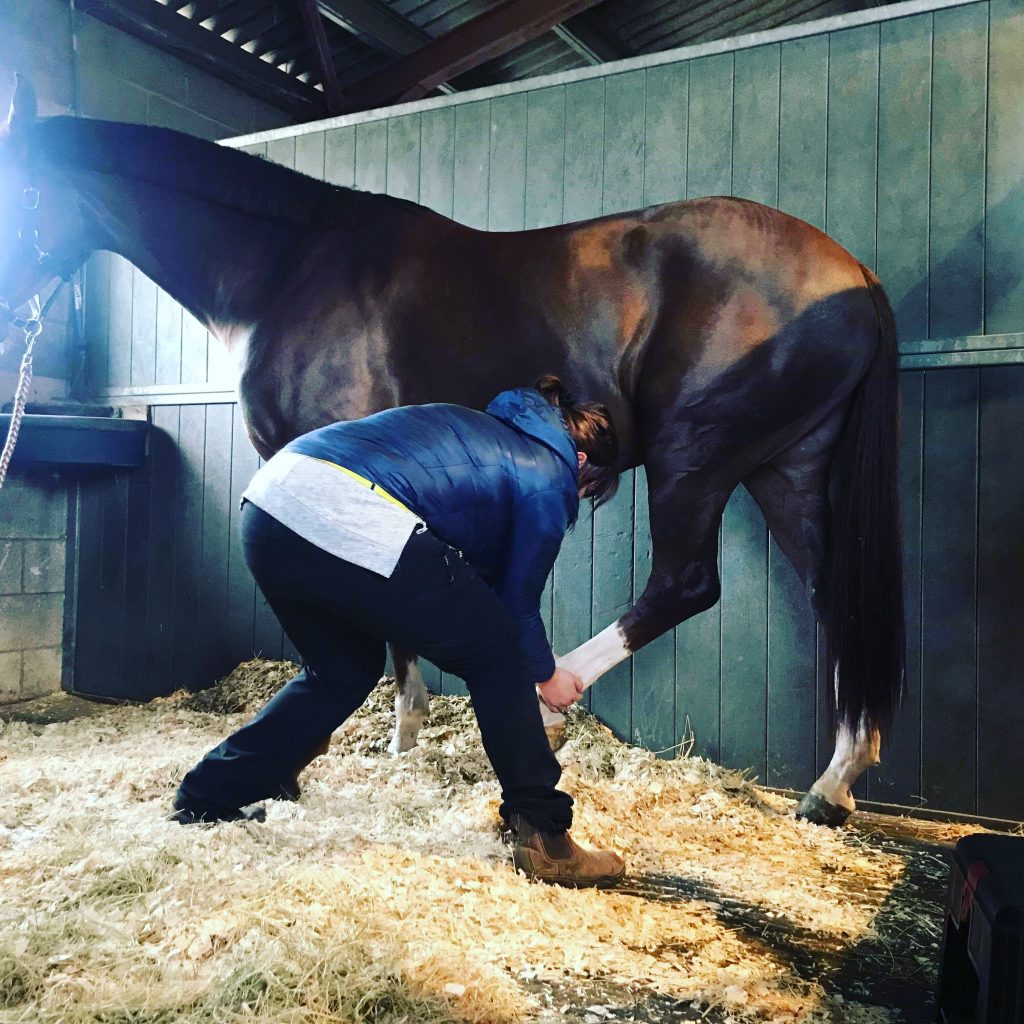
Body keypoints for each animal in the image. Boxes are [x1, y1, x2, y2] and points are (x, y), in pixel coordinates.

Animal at [0, 75, 904, 827]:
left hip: (698, 459)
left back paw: (553, 700)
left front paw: (373, 741)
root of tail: (853, 272)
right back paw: (832, 784)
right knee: (832, 596)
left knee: (684, 585)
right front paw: (404, 736)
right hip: (786, 468)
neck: (286, 271)